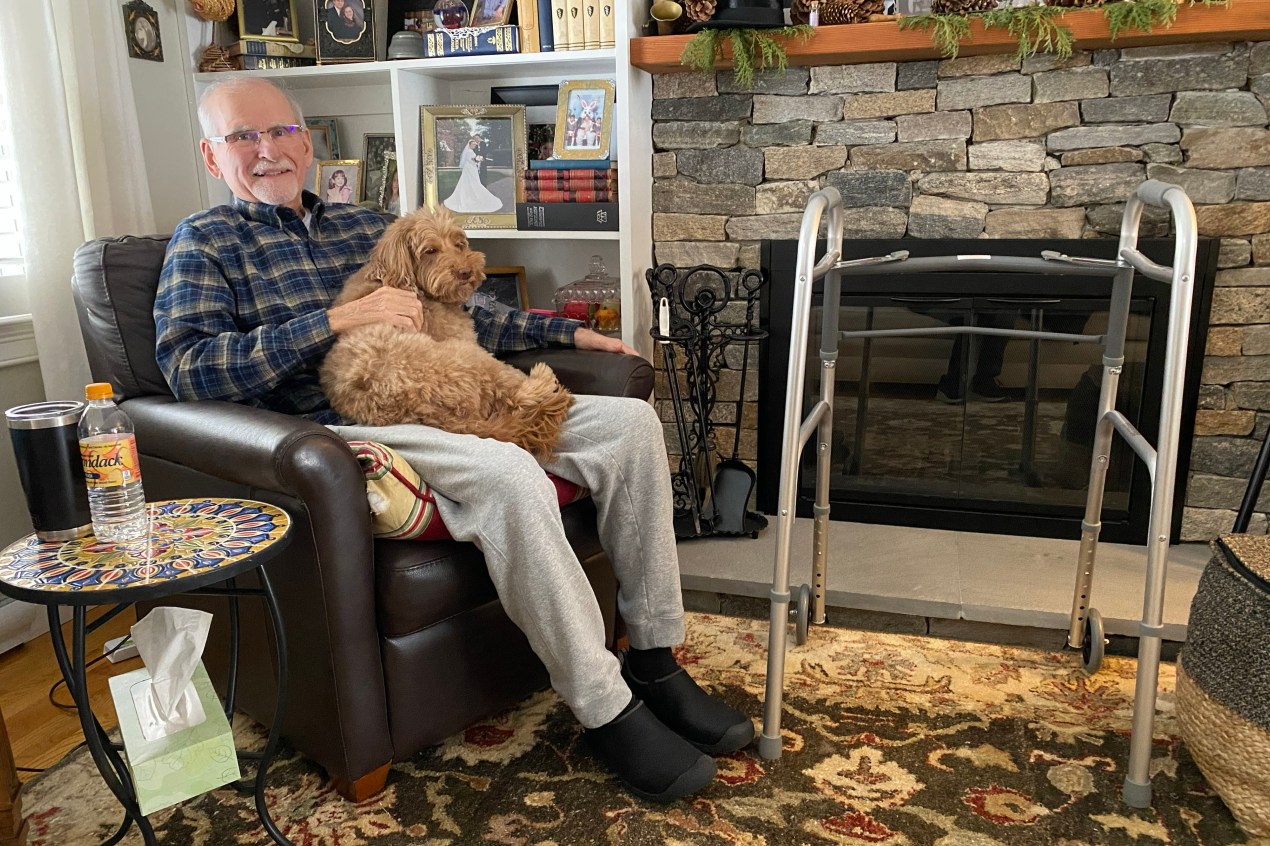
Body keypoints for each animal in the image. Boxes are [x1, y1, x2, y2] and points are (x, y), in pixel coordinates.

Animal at [320, 205, 574, 454]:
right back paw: (542, 379)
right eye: (430, 250)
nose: (465, 272)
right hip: (468, 357)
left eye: (458, 244)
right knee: (515, 394)